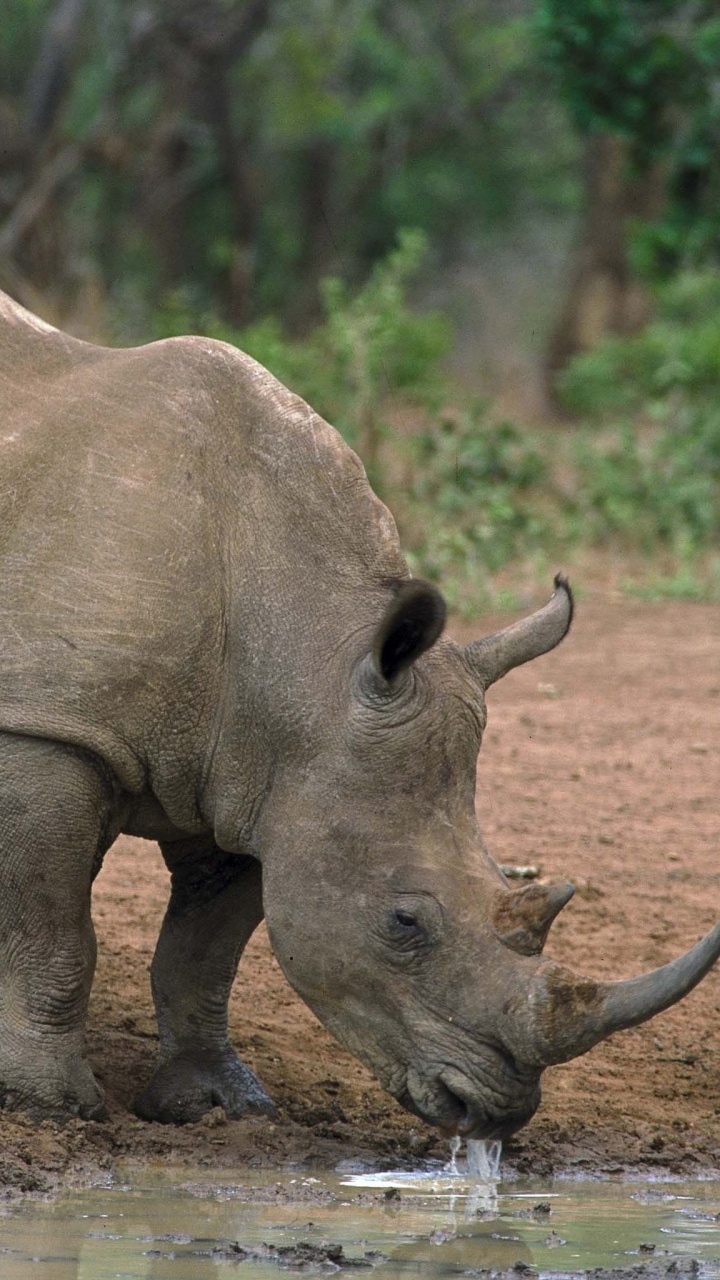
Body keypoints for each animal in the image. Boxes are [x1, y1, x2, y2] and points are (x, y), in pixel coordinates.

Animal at [0, 288, 718, 1137]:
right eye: (405, 923)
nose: (495, 1110)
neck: (301, 653)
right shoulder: (50, 728)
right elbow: (54, 932)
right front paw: (52, 1104)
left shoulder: (259, 779)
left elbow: (204, 951)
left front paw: (213, 1103)